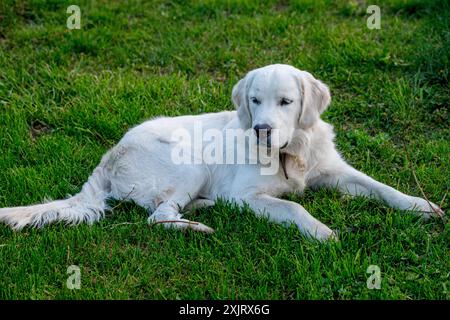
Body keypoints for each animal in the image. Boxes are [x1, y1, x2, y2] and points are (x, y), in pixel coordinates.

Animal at [0, 64, 442, 240]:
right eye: (254, 100)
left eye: (285, 102)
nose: (262, 129)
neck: (289, 153)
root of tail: (109, 156)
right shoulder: (245, 194)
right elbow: (294, 206)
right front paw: (322, 232)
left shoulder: (334, 171)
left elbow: (382, 187)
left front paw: (422, 206)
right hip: (189, 164)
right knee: (158, 216)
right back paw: (200, 226)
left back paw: (202, 208)